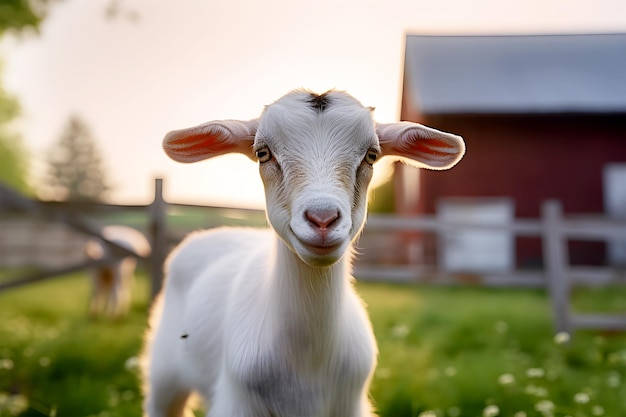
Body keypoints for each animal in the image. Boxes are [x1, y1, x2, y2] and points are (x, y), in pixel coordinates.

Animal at [143, 90, 464, 416]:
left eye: (371, 155)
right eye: (263, 153)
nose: (322, 219)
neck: (309, 361)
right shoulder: (236, 403)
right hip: (163, 372)